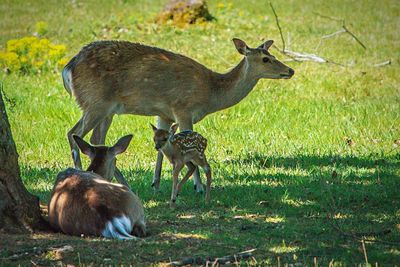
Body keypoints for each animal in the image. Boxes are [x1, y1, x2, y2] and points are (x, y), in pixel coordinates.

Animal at [62, 37, 294, 193]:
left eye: (273, 55)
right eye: (265, 59)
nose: (290, 70)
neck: (211, 93)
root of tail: (67, 69)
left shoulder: (164, 113)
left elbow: (161, 144)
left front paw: (155, 183)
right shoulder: (183, 108)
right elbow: (190, 145)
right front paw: (198, 186)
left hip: (106, 109)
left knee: (97, 140)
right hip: (94, 103)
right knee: (73, 134)